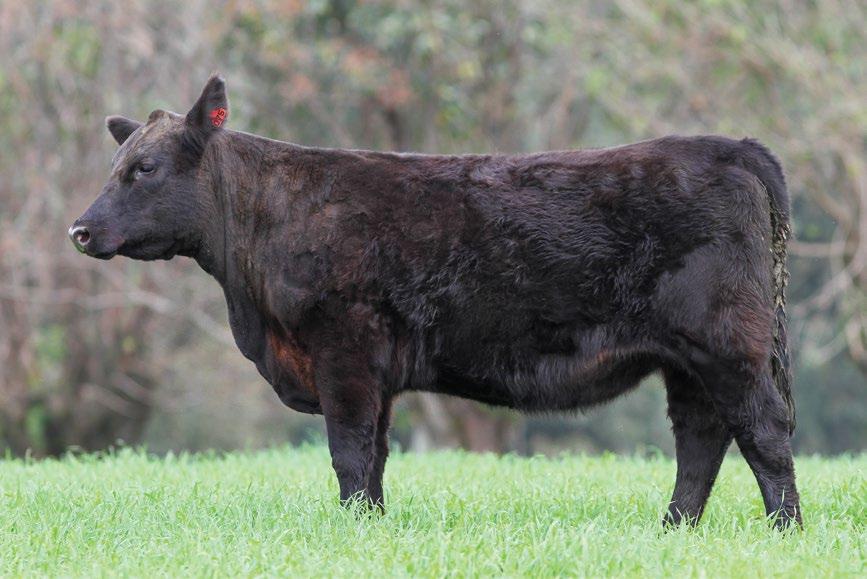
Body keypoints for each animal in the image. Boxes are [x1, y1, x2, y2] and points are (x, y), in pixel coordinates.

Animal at [71, 77, 804, 532]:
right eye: (116, 165)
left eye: (144, 169)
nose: (79, 230)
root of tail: (730, 146)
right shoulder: (376, 371)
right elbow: (375, 455)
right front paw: (371, 524)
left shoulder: (344, 348)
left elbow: (348, 449)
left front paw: (353, 528)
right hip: (689, 358)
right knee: (701, 438)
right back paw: (672, 529)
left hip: (726, 342)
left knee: (762, 430)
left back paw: (784, 531)